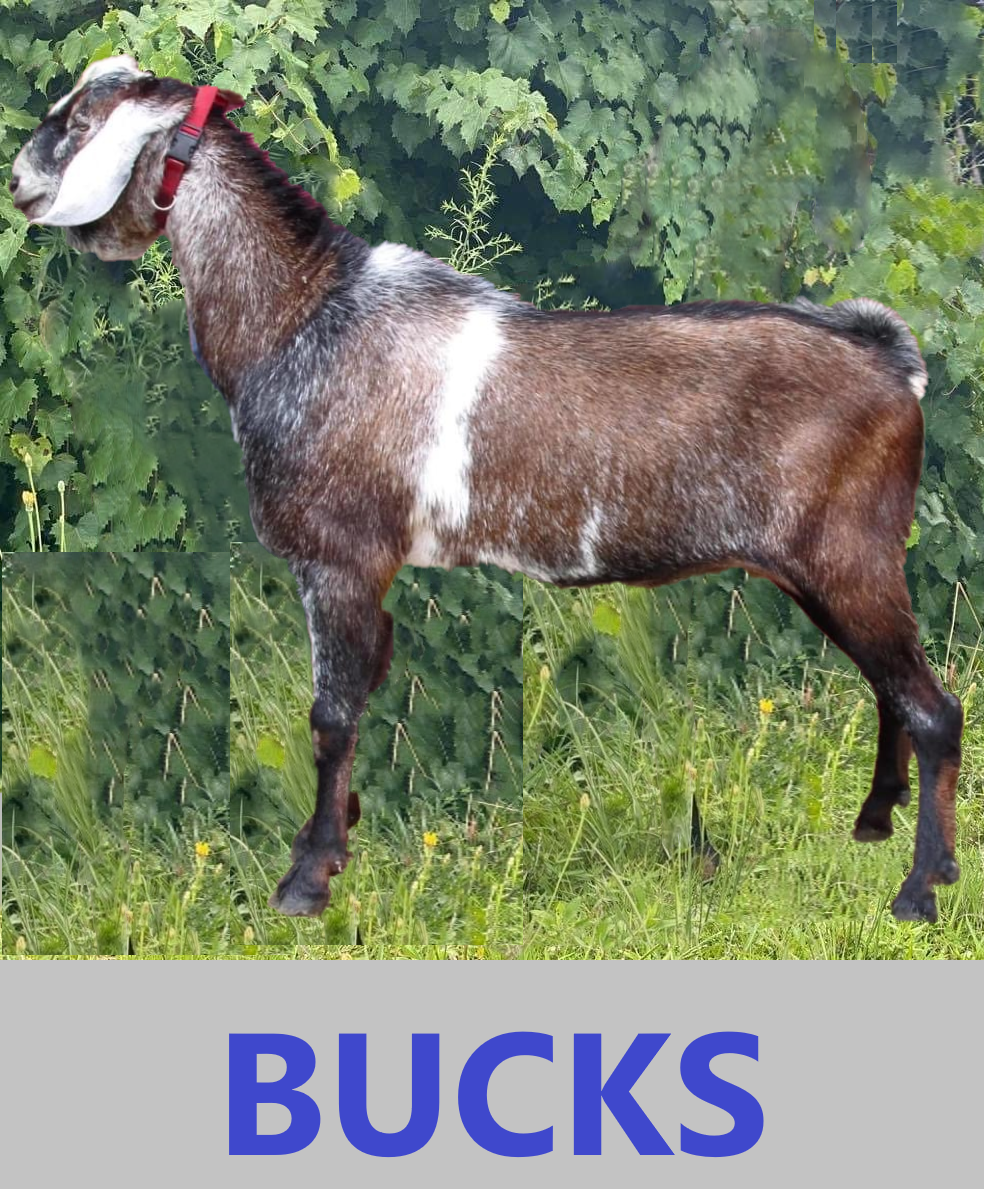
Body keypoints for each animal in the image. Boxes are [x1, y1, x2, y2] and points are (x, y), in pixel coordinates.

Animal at [11, 57, 964, 923]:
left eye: (79, 118)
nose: (17, 182)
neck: (304, 317)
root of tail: (892, 365)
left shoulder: (339, 557)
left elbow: (330, 715)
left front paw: (305, 881)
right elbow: (360, 700)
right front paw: (340, 843)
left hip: (850, 557)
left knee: (934, 706)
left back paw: (921, 887)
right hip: (829, 571)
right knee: (891, 689)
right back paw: (873, 824)